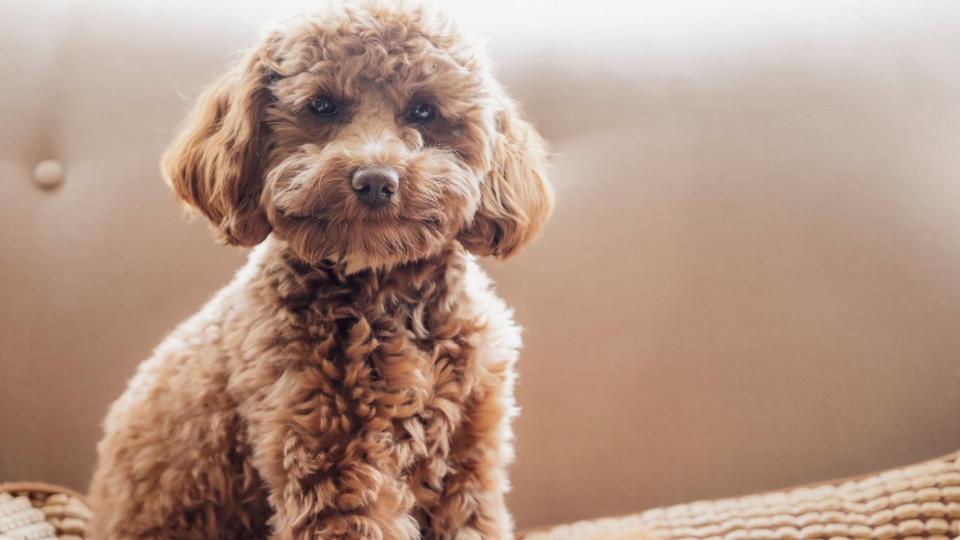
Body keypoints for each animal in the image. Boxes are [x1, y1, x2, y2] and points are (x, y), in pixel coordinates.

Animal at [90, 1, 556, 540]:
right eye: (322, 106)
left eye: (423, 110)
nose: (375, 180)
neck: (386, 289)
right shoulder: (335, 466)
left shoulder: (467, 460)